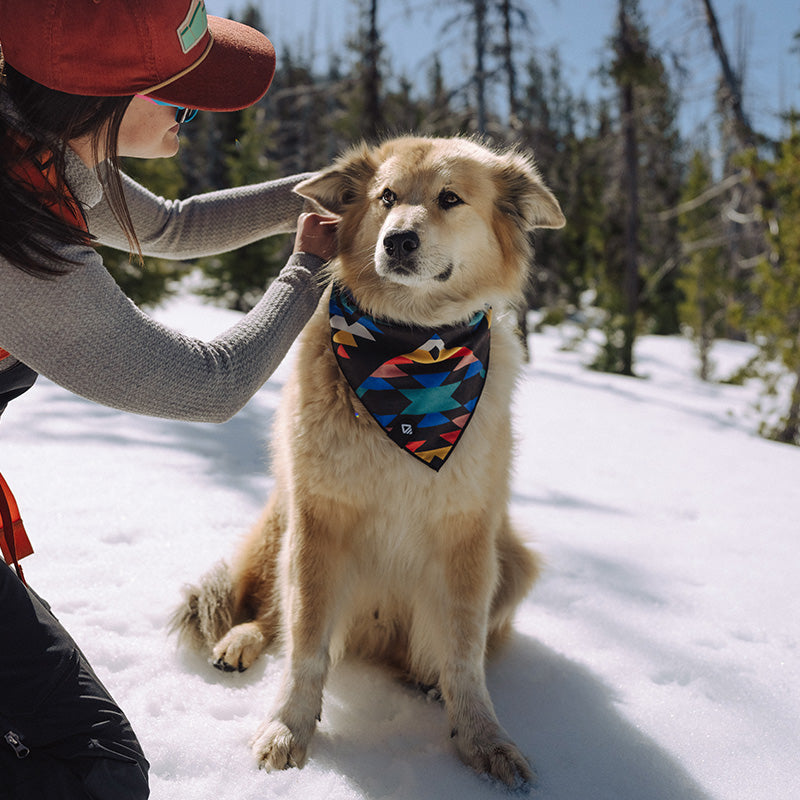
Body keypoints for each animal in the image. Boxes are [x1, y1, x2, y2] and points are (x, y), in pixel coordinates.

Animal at [172, 136, 564, 788]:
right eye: (386, 197)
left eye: (449, 198)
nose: (398, 240)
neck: (413, 347)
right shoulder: (319, 523)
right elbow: (305, 646)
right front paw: (287, 730)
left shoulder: (467, 534)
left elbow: (465, 656)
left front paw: (484, 739)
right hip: (280, 527)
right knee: (273, 614)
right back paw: (240, 642)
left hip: (514, 561)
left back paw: (425, 676)